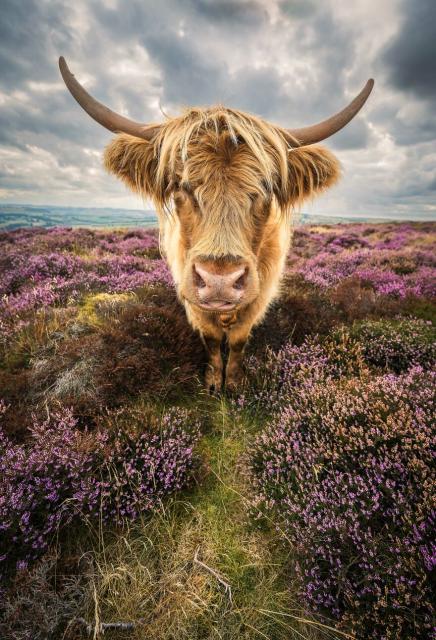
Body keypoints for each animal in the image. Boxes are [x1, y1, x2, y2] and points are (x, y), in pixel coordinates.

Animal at [59, 57, 374, 392]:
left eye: (265, 187)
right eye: (182, 185)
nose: (220, 280)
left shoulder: (260, 293)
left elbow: (237, 340)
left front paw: (233, 383)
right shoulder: (190, 291)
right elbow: (210, 337)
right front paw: (212, 382)